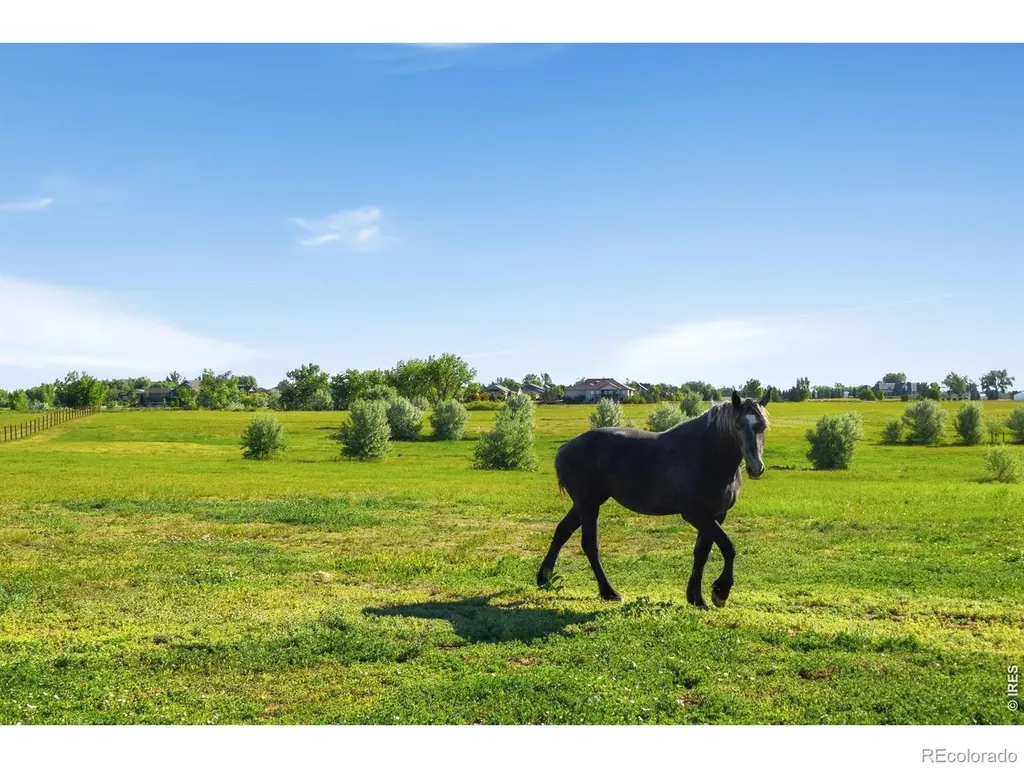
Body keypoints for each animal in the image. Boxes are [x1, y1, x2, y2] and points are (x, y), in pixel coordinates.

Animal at [536, 389, 771, 608]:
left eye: (762, 426)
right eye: (738, 426)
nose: (755, 468)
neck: (707, 455)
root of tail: (565, 448)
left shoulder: (716, 515)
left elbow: (702, 553)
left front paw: (696, 597)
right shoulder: (695, 514)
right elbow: (728, 547)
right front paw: (721, 592)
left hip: (585, 504)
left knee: (562, 532)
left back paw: (544, 578)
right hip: (589, 506)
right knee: (589, 545)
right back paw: (608, 592)